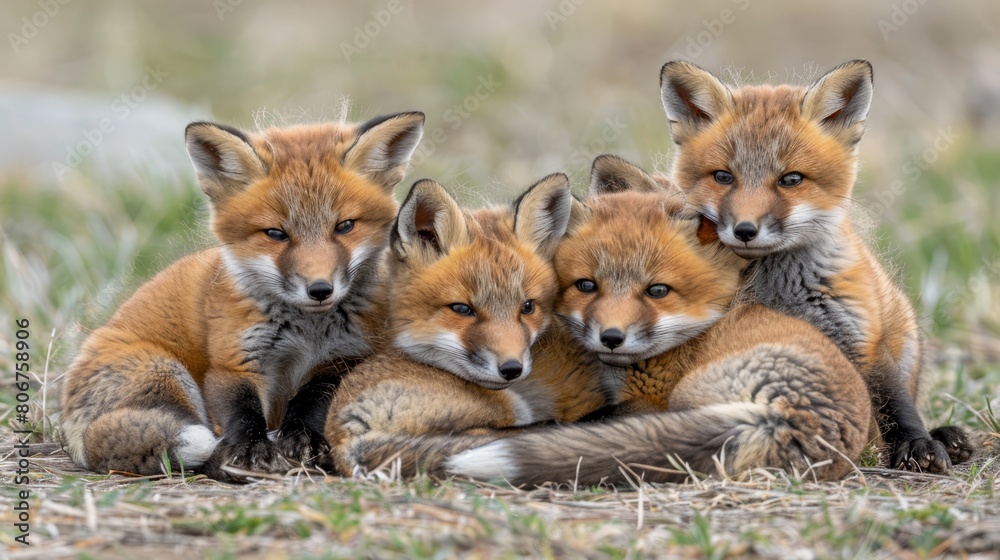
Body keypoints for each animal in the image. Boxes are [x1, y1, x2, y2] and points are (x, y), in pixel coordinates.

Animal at [59, 112, 425, 481]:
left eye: (345, 226)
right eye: (275, 233)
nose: (320, 289)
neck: (305, 332)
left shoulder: (343, 357)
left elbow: (313, 400)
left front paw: (303, 438)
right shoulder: (234, 360)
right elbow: (243, 411)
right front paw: (249, 448)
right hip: (164, 371)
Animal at [444, 158, 874, 487]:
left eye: (657, 291)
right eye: (586, 286)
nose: (611, 337)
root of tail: (793, 418)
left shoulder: (648, 400)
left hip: (688, 399)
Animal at [656, 59, 974, 471]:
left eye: (791, 179)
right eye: (723, 177)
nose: (745, 230)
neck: (780, 291)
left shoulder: (861, 339)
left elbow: (895, 404)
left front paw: (917, 444)